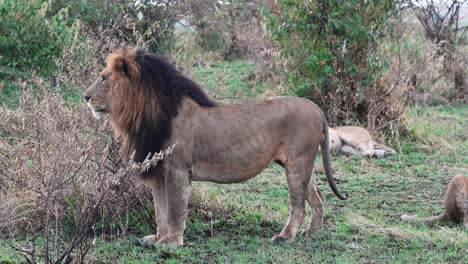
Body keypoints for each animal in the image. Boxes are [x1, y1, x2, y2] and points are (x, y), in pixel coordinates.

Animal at [84, 47, 348, 248]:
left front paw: (172, 243)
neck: (142, 117)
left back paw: (285, 237)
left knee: (299, 206)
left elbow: (174, 210)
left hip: (297, 164)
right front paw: (157, 238)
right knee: (318, 198)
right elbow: (160, 210)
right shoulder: (158, 173)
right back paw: (313, 233)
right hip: (303, 164)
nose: (85, 96)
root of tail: (317, 109)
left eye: (103, 78)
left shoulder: (178, 170)